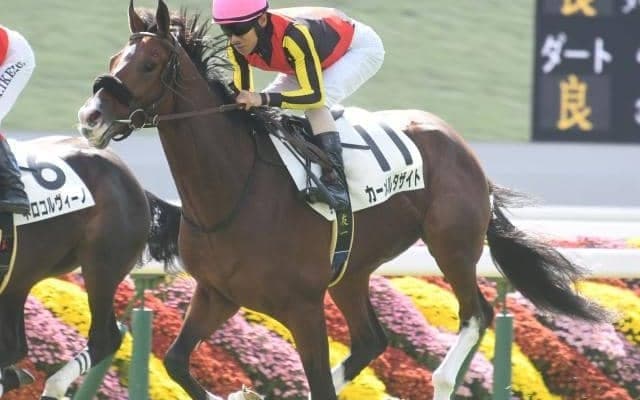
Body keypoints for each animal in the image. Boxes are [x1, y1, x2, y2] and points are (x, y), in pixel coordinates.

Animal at [0, 135, 170, 399]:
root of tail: (133, 181)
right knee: (14, 345)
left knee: (105, 339)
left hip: (101, 266)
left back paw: (53, 386)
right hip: (22, 274)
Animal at [77, 2, 610, 399]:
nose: (90, 117)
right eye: (112, 61)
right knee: (372, 338)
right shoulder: (217, 293)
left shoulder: (303, 307)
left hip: (452, 245)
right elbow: (176, 362)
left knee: (475, 314)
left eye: (148, 65)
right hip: (352, 271)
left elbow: (315, 382)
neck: (233, 191)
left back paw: (442, 378)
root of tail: (457, 143)